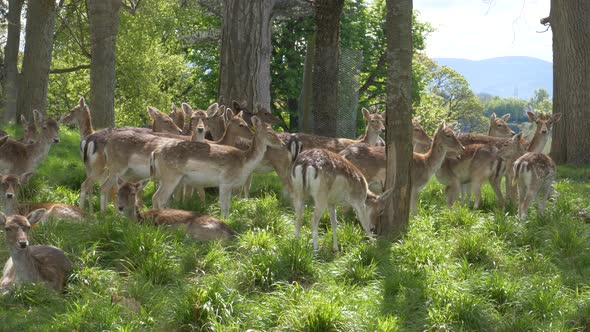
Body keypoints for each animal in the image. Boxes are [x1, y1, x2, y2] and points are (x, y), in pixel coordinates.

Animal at [150, 115, 284, 219]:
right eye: (270, 132)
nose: (282, 144)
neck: (244, 163)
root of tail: (155, 153)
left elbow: (228, 205)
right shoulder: (225, 181)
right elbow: (224, 207)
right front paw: (225, 221)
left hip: (164, 178)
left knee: (155, 196)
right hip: (171, 176)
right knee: (161, 198)